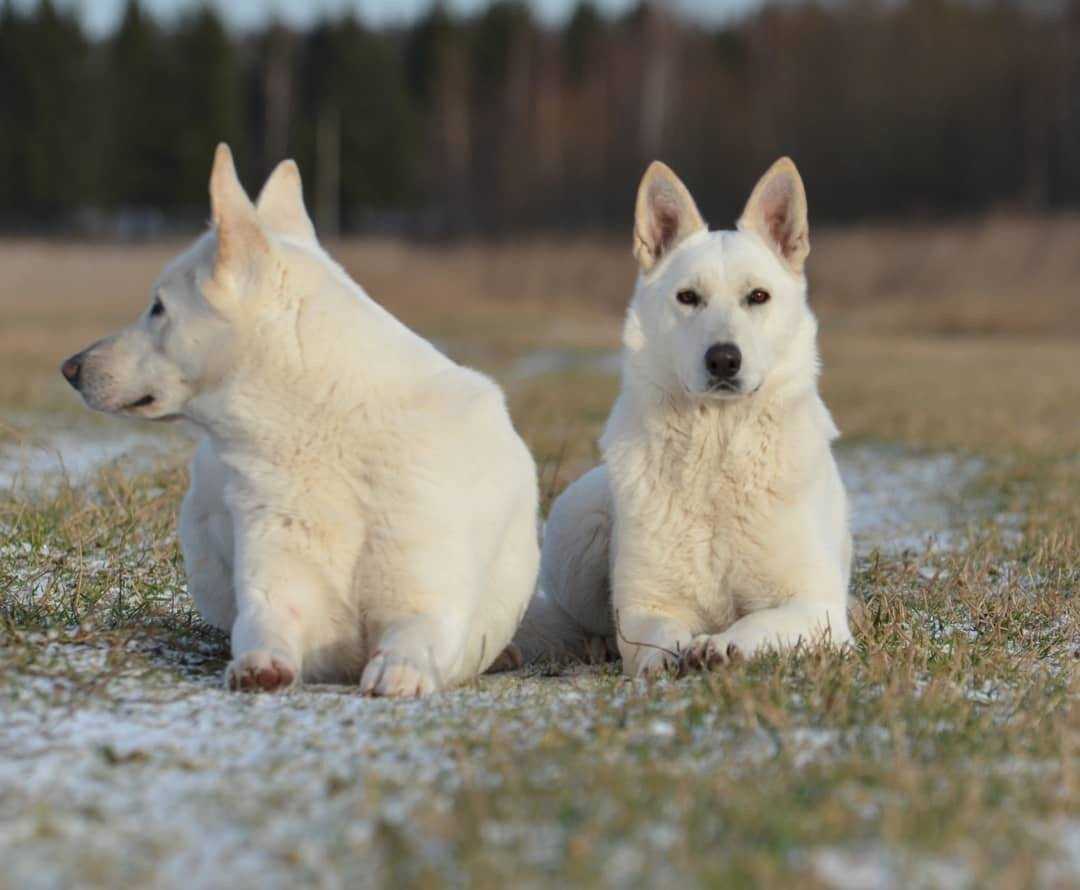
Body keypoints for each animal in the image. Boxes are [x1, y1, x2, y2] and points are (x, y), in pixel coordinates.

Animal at [59, 145, 540, 699]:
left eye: (157, 308)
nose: (69, 368)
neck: (331, 433)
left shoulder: (428, 604)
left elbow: (413, 637)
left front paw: (400, 669)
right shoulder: (280, 592)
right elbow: (263, 626)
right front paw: (258, 666)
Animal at [509, 156, 855, 678]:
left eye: (758, 296)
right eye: (688, 297)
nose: (723, 360)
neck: (717, 446)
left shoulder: (820, 610)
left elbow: (759, 623)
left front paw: (723, 645)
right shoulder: (644, 607)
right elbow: (655, 635)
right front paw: (671, 655)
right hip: (579, 525)